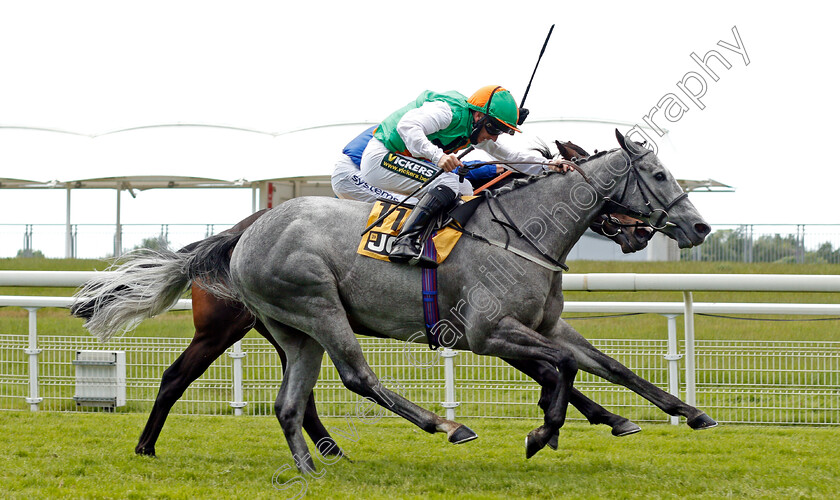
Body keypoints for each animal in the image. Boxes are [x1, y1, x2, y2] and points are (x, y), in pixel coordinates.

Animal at [82, 131, 716, 470]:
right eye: (659, 176)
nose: (700, 227)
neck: (522, 229)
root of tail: (245, 231)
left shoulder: (546, 325)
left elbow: (605, 366)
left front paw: (683, 412)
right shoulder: (487, 331)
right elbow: (560, 369)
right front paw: (544, 432)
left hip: (292, 329)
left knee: (294, 400)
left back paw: (317, 460)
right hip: (311, 307)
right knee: (354, 377)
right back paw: (445, 426)